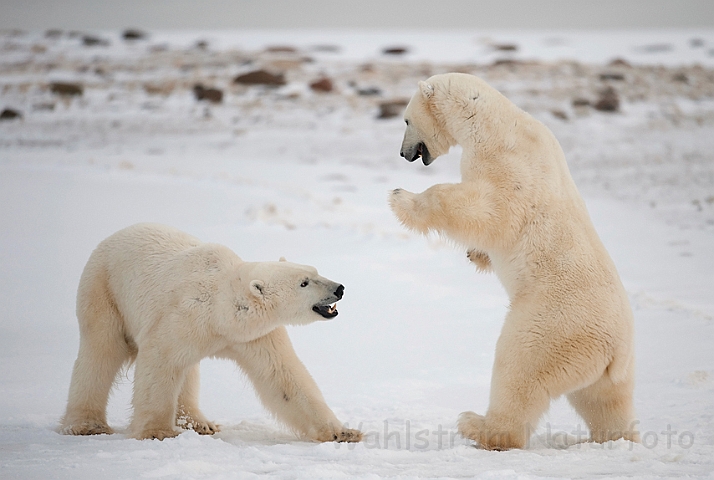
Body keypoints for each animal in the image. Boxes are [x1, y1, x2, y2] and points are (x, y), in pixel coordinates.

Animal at [59, 224, 362, 442]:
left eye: (314, 271)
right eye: (304, 282)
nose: (339, 288)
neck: (221, 310)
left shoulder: (252, 336)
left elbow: (283, 377)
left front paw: (343, 432)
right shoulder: (182, 315)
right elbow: (159, 362)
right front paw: (158, 432)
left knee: (187, 372)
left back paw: (200, 423)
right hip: (104, 291)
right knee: (101, 351)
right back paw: (87, 425)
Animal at [390, 72, 640, 450]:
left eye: (406, 120)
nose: (403, 154)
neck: (492, 122)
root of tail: (615, 351)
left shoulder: (507, 164)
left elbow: (489, 208)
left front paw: (400, 197)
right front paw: (476, 255)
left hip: (552, 324)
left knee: (519, 368)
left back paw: (478, 425)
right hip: (609, 370)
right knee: (605, 402)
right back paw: (615, 438)